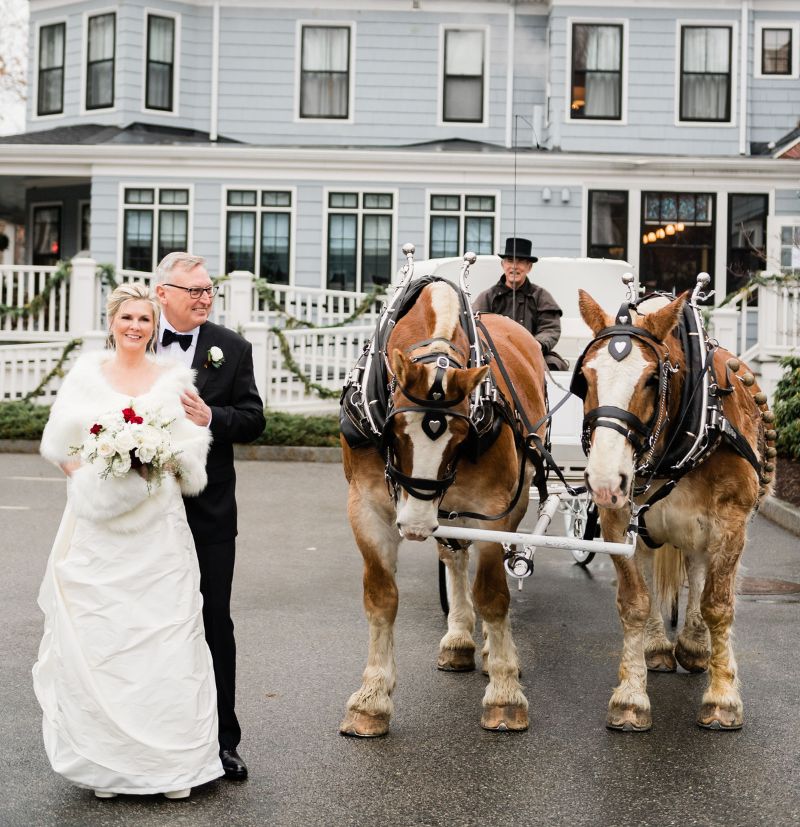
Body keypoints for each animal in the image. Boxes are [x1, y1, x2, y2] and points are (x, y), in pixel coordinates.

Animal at [338, 280, 552, 736]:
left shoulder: (492, 510)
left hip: (511, 496)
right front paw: (372, 698)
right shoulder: (366, 506)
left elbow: (492, 595)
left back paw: (490, 652)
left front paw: (504, 693)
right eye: (394, 432)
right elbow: (381, 598)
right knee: (453, 558)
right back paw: (459, 638)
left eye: (461, 437)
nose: (416, 525)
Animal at [576, 292, 776, 732]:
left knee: (700, 578)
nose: (604, 479)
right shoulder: (617, 521)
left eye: (652, 378)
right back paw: (658, 646)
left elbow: (717, 604)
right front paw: (631, 697)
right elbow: (634, 601)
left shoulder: (730, 522)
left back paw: (696, 647)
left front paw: (723, 698)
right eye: (584, 376)